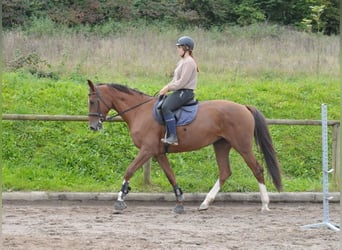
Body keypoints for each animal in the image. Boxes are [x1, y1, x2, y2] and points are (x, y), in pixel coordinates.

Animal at [87, 79, 282, 213]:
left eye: (92, 101)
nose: (93, 126)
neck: (139, 111)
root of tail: (243, 107)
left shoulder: (147, 150)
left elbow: (129, 170)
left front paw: (120, 199)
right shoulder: (158, 153)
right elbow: (171, 176)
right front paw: (180, 202)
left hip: (242, 146)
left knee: (257, 169)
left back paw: (265, 204)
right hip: (221, 145)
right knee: (225, 172)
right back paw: (205, 203)